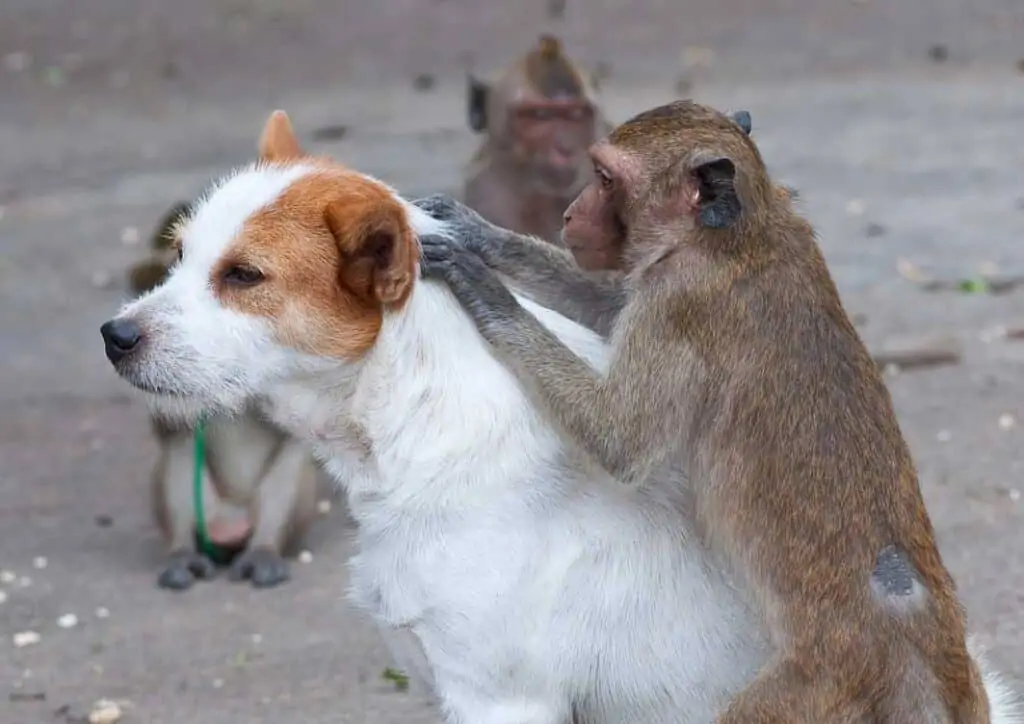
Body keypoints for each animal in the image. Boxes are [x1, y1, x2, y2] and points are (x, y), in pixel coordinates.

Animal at [128, 196, 319, 589]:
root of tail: (231, 528)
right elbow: (170, 421)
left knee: (290, 467)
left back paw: (264, 552)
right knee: (181, 454)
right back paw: (182, 555)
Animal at [413, 103, 999, 724]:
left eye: (604, 178)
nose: (571, 214)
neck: (742, 232)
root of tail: (932, 647)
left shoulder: (678, 300)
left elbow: (618, 439)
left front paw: (481, 285)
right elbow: (610, 307)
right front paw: (480, 232)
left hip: (826, 688)